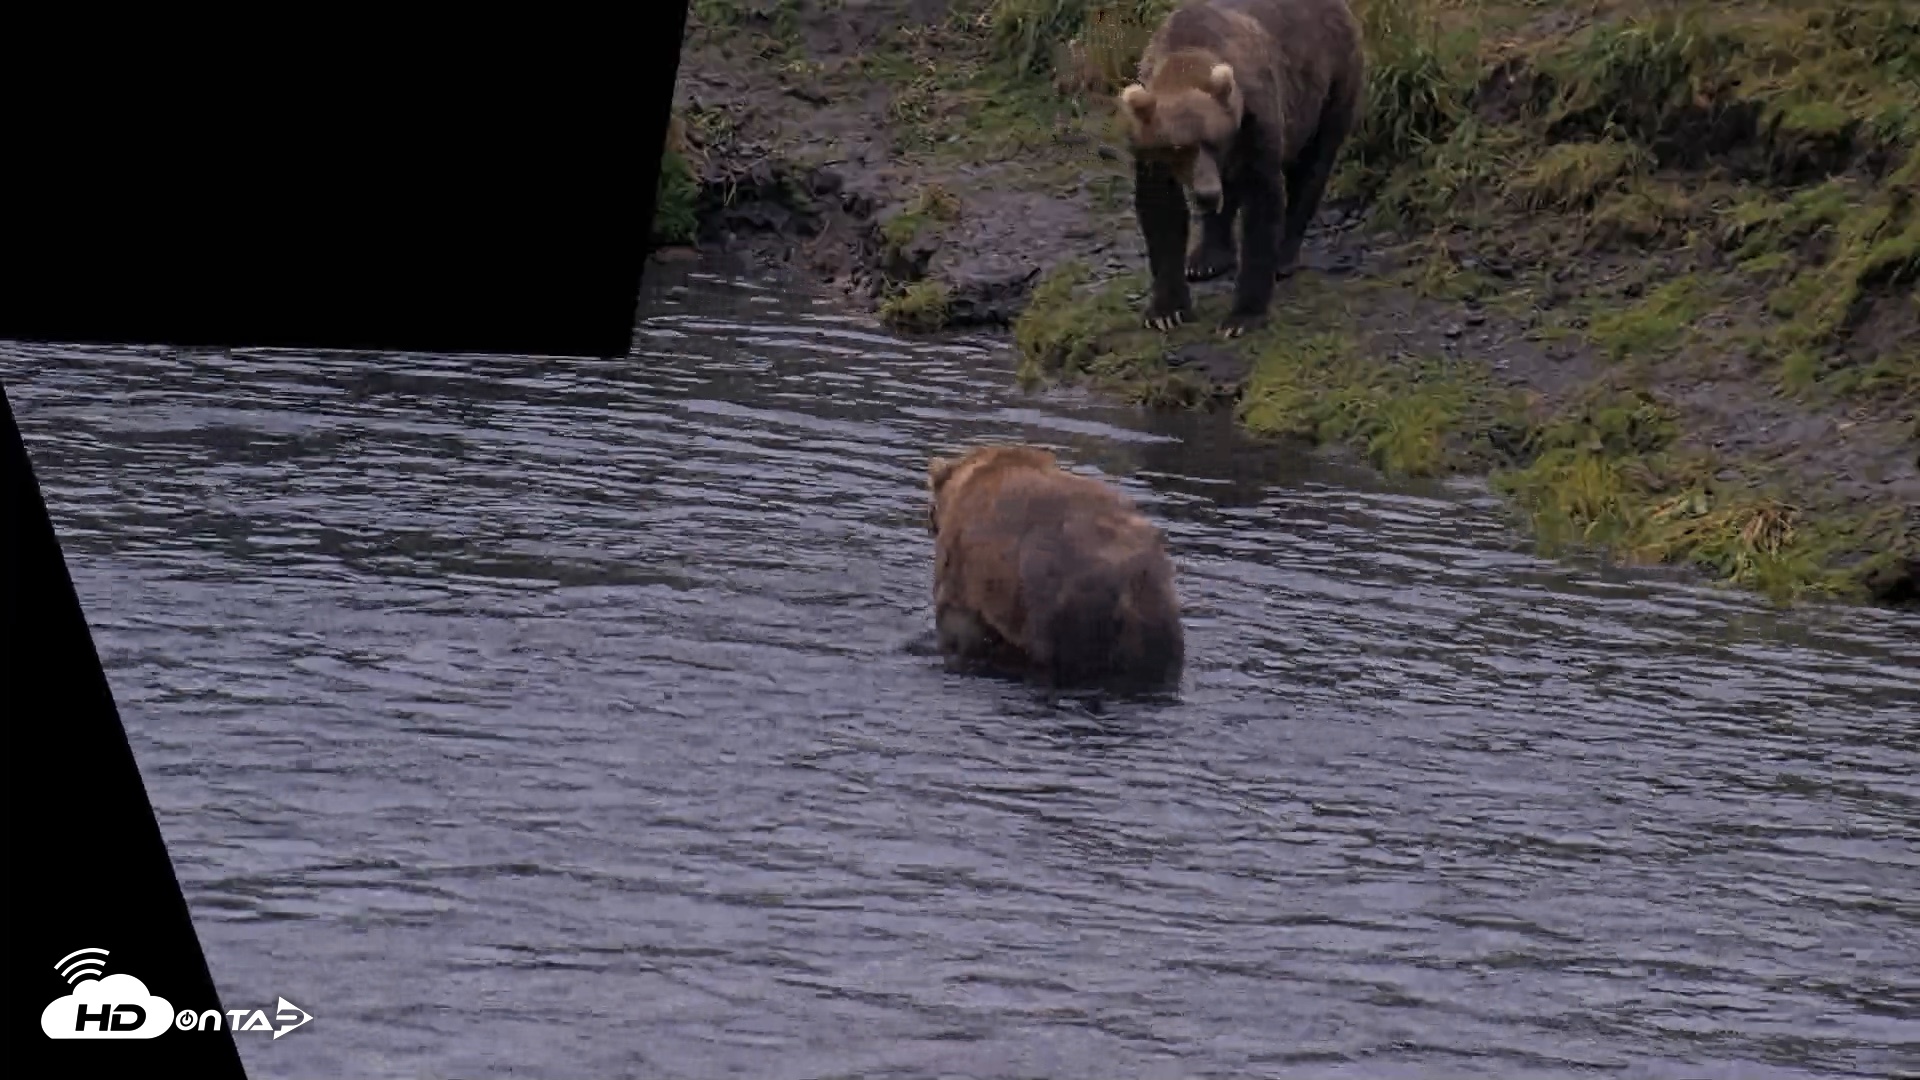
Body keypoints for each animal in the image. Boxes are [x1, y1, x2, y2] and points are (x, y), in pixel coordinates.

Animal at [1117, 0, 1366, 338]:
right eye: (1179, 148)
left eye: (1214, 141)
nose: (1206, 193)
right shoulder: (1149, 148)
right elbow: (1161, 212)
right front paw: (1165, 311)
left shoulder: (1254, 118)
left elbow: (1262, 201)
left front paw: (1242, 316)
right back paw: (1206, 258)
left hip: (1332, 84)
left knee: (1312, 168)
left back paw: (1283, 256)